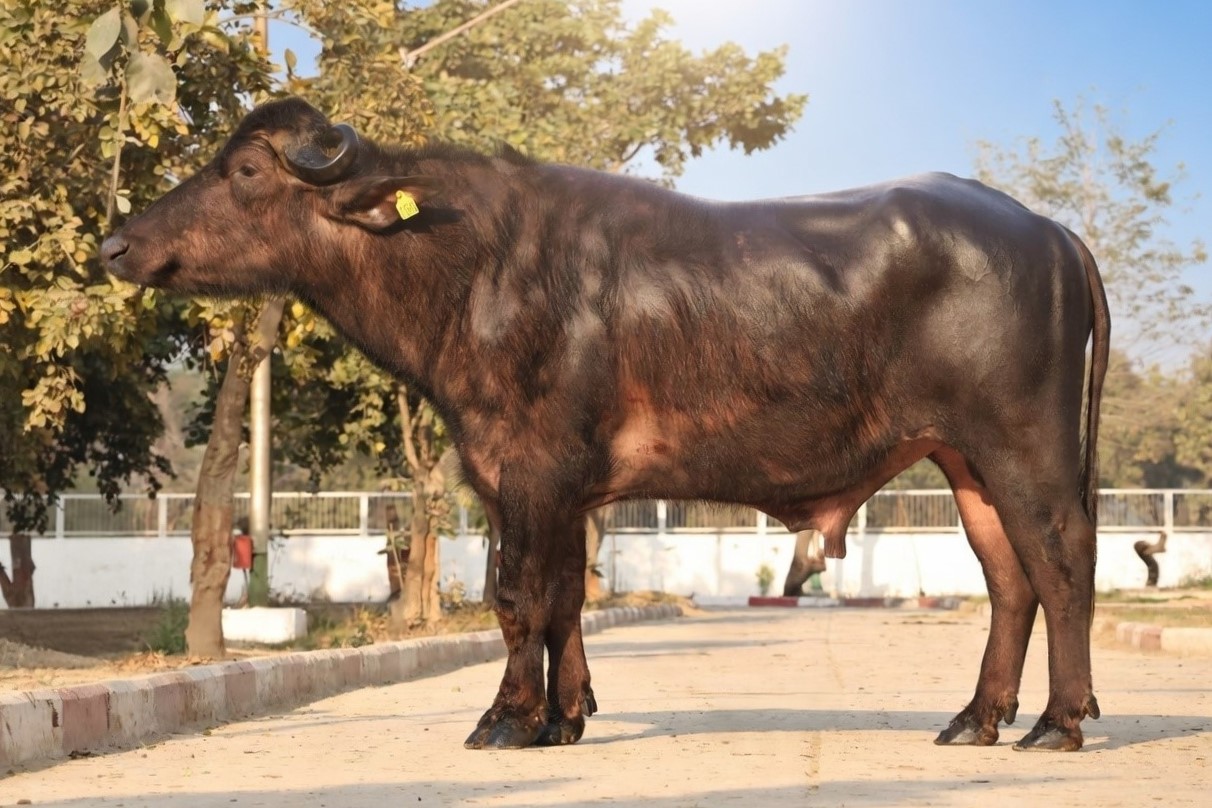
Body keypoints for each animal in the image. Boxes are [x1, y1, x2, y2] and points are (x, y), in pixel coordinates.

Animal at [103, 97, 1110, 752]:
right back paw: (975, 719)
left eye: (242, 171)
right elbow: (564, 597)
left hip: (1024, 447)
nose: (117, 242)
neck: (471, 263)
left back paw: (1057, 723)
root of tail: (1048, 231)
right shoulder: (538, 483)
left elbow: (518, 597)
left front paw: (508, 719)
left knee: (1062, 567)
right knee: (1009, 581)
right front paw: (566, 715)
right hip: (963, 459)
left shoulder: (531, 469)